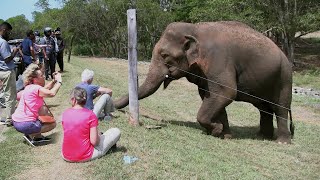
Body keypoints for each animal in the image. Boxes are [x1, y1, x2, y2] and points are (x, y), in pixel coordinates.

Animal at [115, 21, 296, 143]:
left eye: (165, 55)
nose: (116, 108)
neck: (194, 29)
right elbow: (210, 96)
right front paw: (224, 135)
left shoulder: (219, 60)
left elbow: (226, 92)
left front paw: (216, 130)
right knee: (264, 109)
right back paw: (262, 136)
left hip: (285, 78)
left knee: (280, 108)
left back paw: (281, 142)